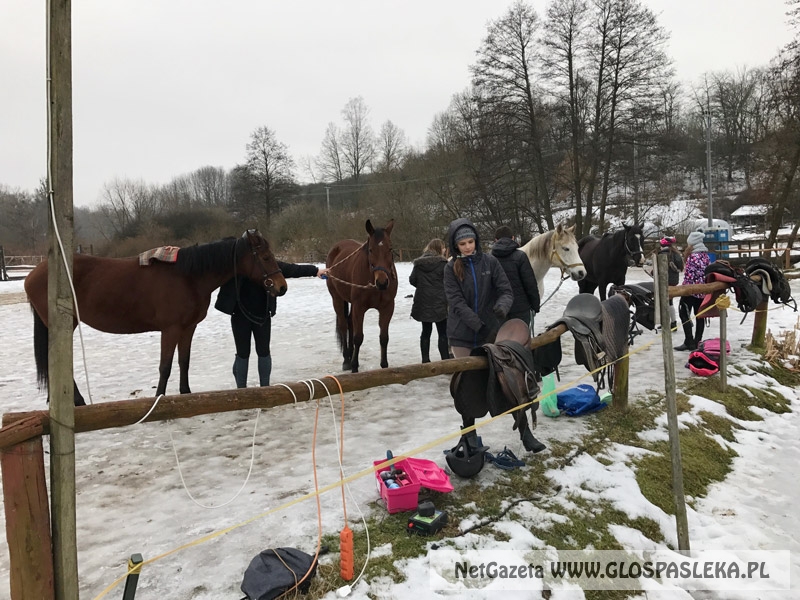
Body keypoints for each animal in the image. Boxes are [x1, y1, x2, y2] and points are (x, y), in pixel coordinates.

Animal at [25, 227, 288, 406]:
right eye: (266, 257)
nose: (281, 287)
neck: (188, 276)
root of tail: (34, 273)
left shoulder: (188, 328)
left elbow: (184, 361)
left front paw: (185, 392)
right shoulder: (170, 329)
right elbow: (165, 365)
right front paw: (159, 397)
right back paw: (77, 401)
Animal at [324, 218, 396, 372]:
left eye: (390, 249)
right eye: (371, 250)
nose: (382, 282)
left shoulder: (387, 308)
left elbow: (384, 338)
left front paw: (384, 366)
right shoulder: (359, 307)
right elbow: (358, 337)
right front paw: (354, 366)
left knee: (350, 322)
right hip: (337, 299)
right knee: (344, 325)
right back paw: (347, 360)